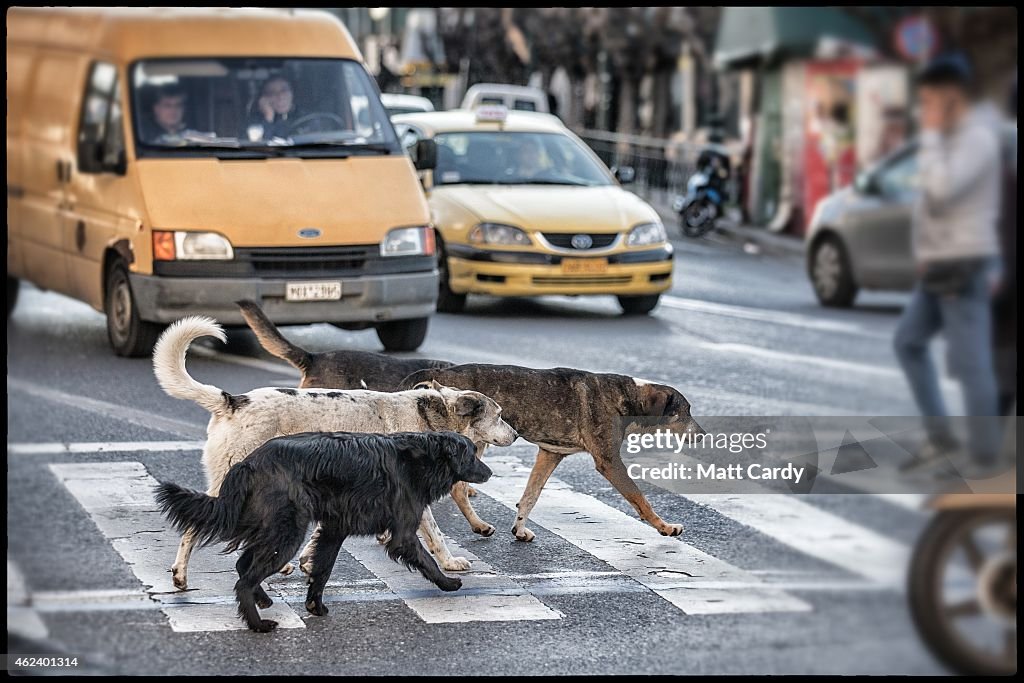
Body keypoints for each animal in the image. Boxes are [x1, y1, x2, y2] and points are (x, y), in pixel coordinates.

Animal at [153, 317, 520, 589]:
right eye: (500, 415)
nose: (517, 434)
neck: (432, 418)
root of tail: (232, 401)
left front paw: (306, 560)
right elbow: (436, 534)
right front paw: (449, 562)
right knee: (196, 525)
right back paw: (181, 574)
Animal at [155, 430, 491, 634]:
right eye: (472, 453)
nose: (489, 472)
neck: (422, 458)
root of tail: (248, 463)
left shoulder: (333, 530)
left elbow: (323, 570)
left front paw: (314, 606)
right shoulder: (403, 534)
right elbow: (428, 559)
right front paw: (448, 583)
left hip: (274, 529)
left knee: (243, 565)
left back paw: (263, 600)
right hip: (287, 533)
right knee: (244, 579)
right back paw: (258, 624)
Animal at [399, 366, 704, 540]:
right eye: (685, 411)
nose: (702, 435)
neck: (628, 396)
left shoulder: (550, 453)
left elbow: (530, 496)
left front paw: (520, 529)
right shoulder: (608, 461)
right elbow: (639, 497)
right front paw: (664, 526)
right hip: (475, 440)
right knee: (459, 489)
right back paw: (478, 525)